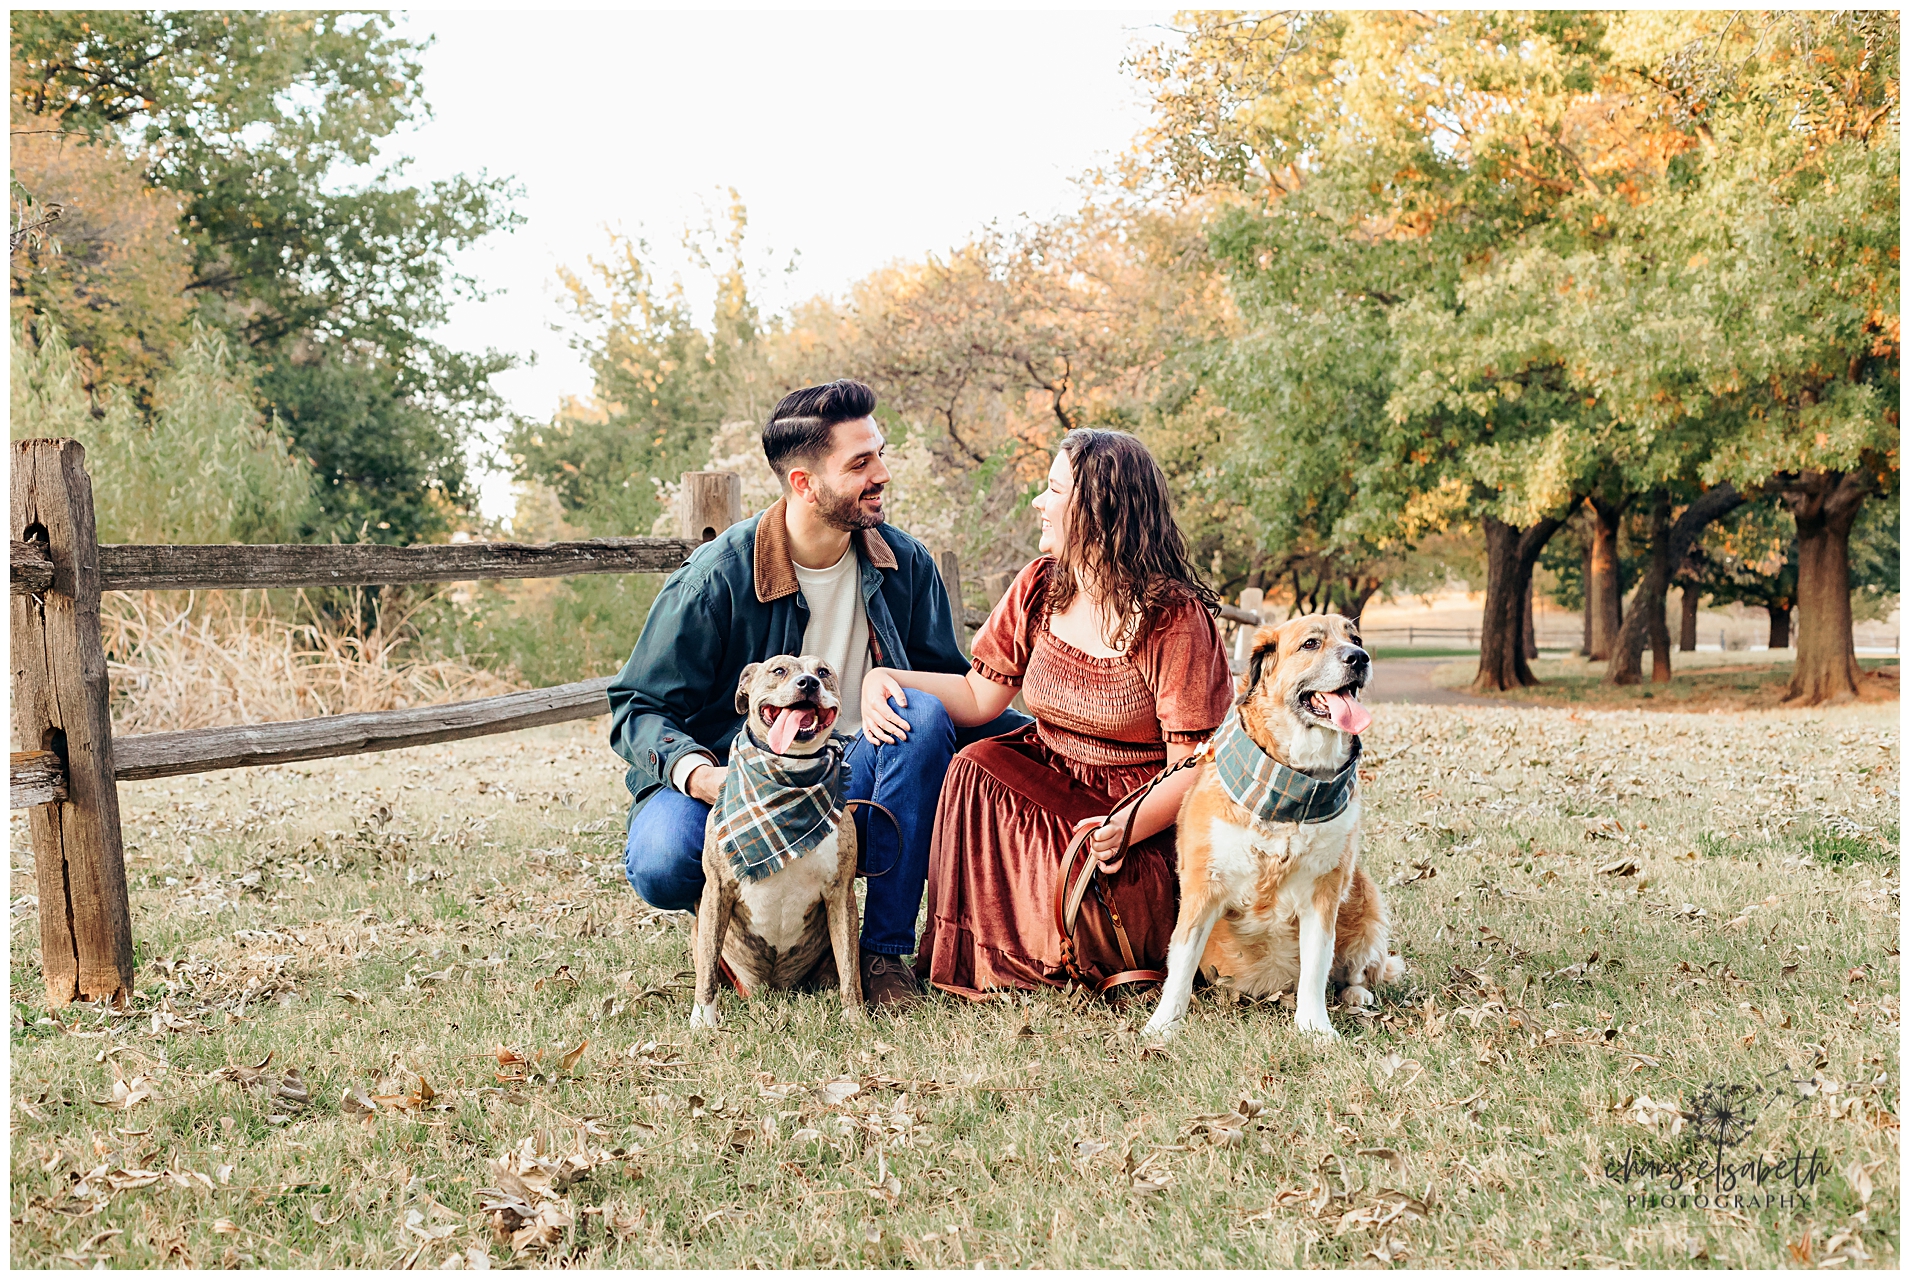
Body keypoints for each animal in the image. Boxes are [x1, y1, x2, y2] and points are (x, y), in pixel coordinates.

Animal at [691, 661, 863, 1031]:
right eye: (779, 670)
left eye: (824, 672)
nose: (808, 683)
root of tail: (773, 987)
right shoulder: (717, 890)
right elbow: (708, 967)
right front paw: (703, 1019)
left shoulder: (840, 894)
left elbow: (850, 967)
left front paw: (855, 1018)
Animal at [1146, 611, 1405, 1039]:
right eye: (1311, 643)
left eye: (1355, 638)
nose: (1360, 658)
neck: (1295, 785)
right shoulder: (1203, 886)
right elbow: (1180, 962)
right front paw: (1163, 1025)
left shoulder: (1324, 892)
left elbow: (1317, 965)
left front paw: (1315, 1027)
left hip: (1364, 897)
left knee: (1360, 969)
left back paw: (1356, 994)